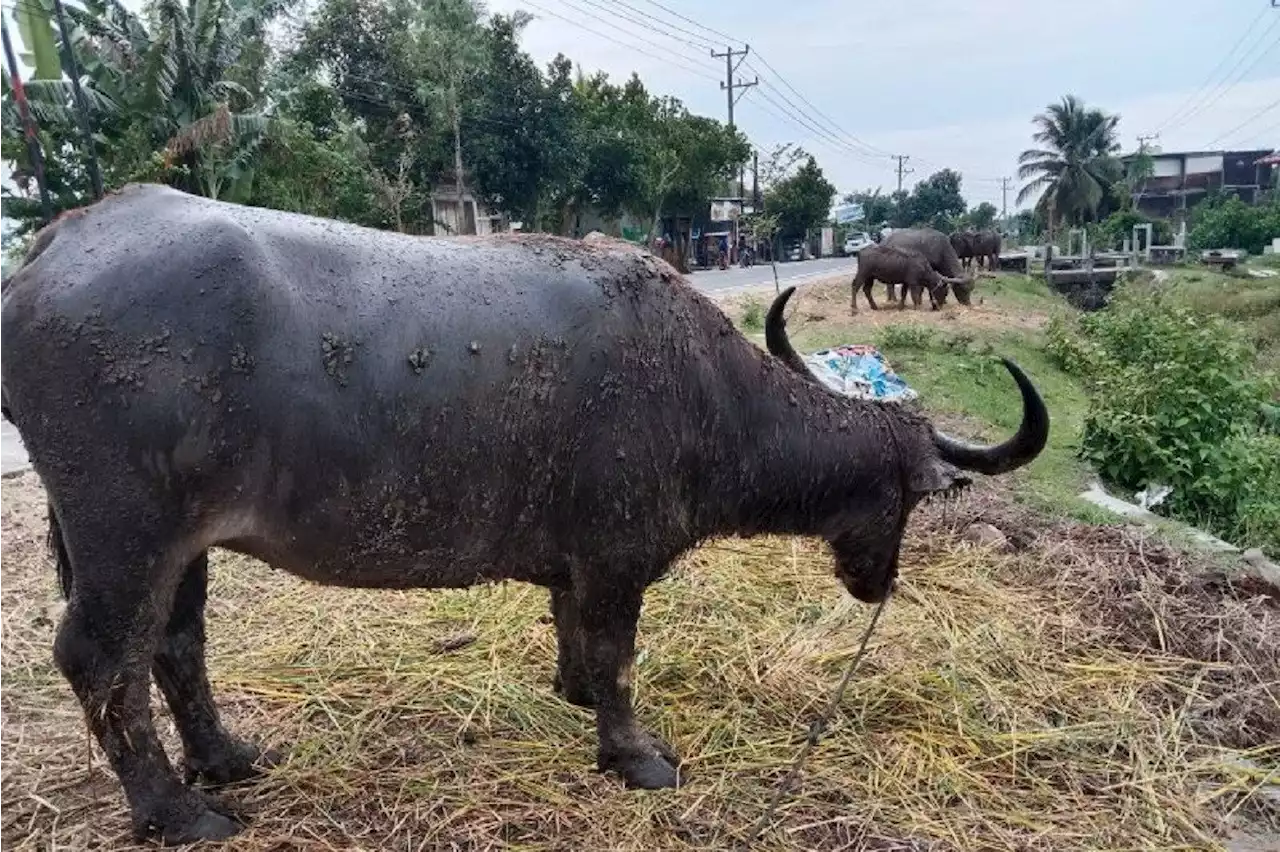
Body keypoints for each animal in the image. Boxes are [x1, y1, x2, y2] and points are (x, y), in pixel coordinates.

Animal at [0, 184, 1049, 844]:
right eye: (907, 500)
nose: (880, 582)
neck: (709, 394)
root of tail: (54, 246)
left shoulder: (575, 557)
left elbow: (571, 627)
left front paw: (573, 691)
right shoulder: (620, 553)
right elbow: (620, 653)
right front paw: (634, 755)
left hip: (182, 545)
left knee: (175, 646)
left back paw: (224, 759)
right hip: (125, 536)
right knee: (101, 659)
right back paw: (176, 814)